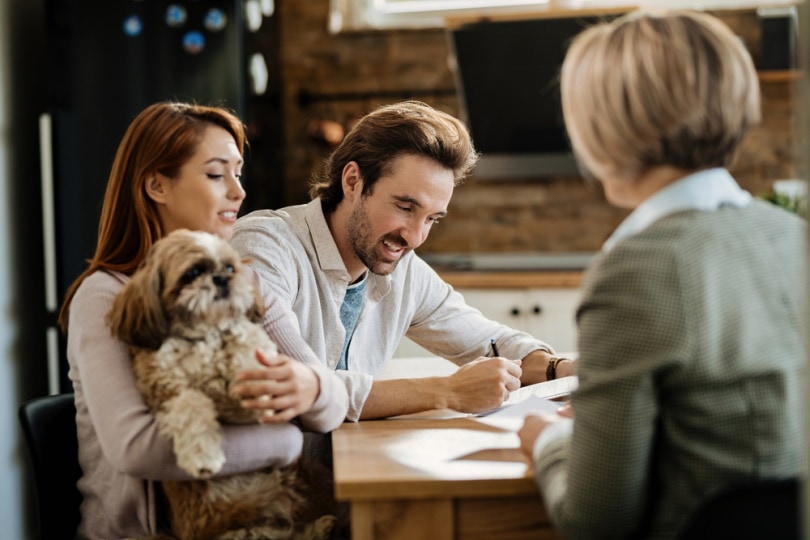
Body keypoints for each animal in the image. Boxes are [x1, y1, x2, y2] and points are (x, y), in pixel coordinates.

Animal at [108, 229, 334, 540]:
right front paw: (202, 455)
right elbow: (191, 404)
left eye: (229, 268)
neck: (205, 335)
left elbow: (246, 342)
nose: (221, 279)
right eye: (193, 273)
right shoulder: (166, 390)